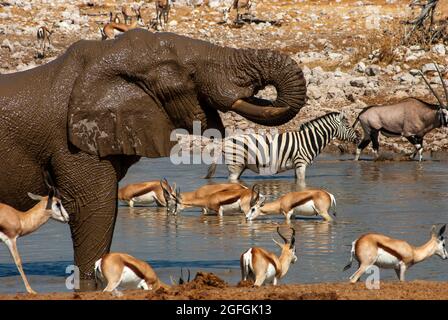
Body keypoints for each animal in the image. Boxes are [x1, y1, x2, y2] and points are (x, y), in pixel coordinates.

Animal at [205, 112, 358, 182]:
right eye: (348, 126)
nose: (358, 138)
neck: (308, 139)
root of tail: (225, 141)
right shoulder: (301, 163)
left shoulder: (297, 166)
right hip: (235, 165)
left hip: (241, 166)